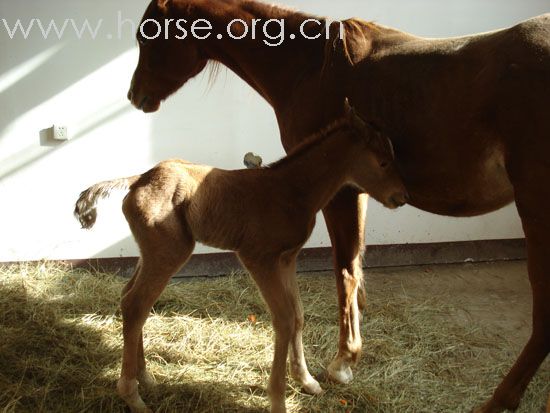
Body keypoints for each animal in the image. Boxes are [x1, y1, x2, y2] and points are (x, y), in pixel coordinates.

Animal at [73, 107, 410, 412]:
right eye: (383, 161)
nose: (402, 196)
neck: (291, 191)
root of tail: (137, 180)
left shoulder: (287, 259)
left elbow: (298, 315)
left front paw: (307, 381)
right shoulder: (259, 258)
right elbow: (284, 319)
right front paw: (278, 400)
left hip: (152, 252)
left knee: (129, 297)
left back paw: (146, 378)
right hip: (169, 252)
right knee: (136, 305)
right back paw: (133, 396)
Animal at [128, 1, 550, 410]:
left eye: (148, 37)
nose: (134, 96)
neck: (311, 67)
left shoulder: (340, 193)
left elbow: (344, 271)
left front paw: (342, 363)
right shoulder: (357, 190)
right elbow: (355, 269)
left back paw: (498, 401)